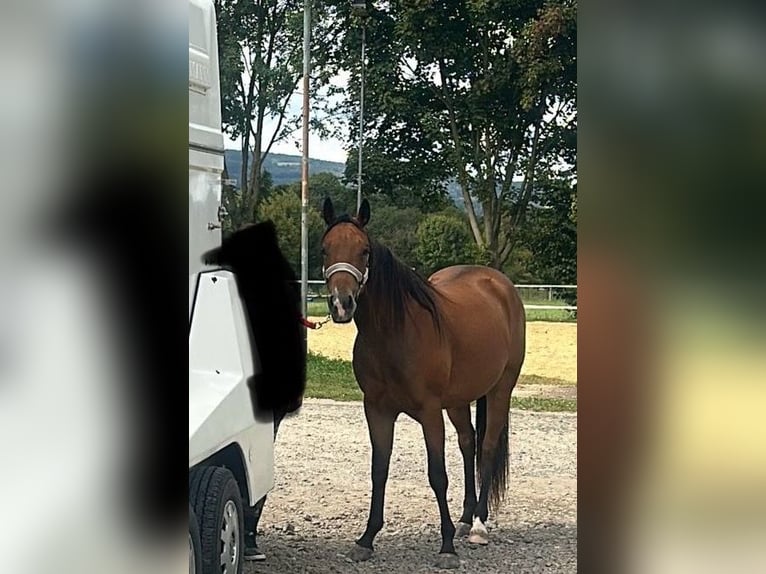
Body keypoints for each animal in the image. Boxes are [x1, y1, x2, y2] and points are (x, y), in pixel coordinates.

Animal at [320, 197, 526, 569]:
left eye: (364, 251)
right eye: (325, 248)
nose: (342, 304)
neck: (396, 333)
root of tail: (499, 284)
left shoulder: (429, 413)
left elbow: (437, 475)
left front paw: (446, 547)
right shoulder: (377, 410)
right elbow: (379, 470)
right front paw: (366, 539)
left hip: (501, 389)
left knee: (487, 447)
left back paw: (478, 525)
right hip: (458, 400)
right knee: (468, 442)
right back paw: (465, 518)